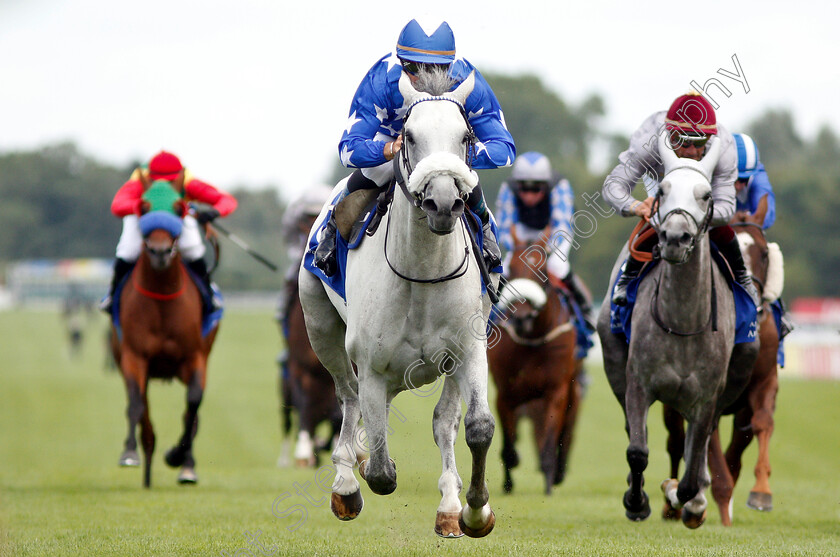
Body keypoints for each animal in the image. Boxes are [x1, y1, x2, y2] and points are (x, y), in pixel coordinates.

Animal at [110, 184, 218, 486]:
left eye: (179, 207)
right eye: (144, 207)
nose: (159, 252)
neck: (162, 300)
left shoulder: (194, 358)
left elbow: (192, 405)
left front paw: (177, 457)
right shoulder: (134, 357)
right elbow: (136, 404)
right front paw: (129, 453)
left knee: (191, 416)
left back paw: (186, 466)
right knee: (144, 413)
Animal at [300, 69, 498, 540]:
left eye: (466, 136)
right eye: (408, 135)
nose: (443, 201)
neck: (422, 272)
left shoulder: (469, 349)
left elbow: (475, 427)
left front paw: (475, 511)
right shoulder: (372, 363)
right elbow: (381, 471)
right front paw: (360, 472)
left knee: (442, 422)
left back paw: (449, 505)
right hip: (321, 328)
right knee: (349, 396)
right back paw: (345, 481)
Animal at [488, 228, 580, 494]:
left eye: (542, 272)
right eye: (511, 270)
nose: (522, 317)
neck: (533, 338)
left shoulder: (556, 390)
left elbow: (550, 441)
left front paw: (549, 482)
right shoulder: (505, 392)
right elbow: (509, 447)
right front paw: (508, 483)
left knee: (567, 429)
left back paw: (559, 472)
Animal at [596, 132, 760, 528]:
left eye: (706, 195)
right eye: (663, 189)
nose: (674, 237)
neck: (682, 321)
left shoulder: (706, 397)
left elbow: (691, 466)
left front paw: (685, 497)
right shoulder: (638, 383)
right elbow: (638, 450)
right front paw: (636, 501)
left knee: (699, 448)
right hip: (614, 362)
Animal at [664, 197, 780, 524]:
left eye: (763, 253)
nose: (756, 308)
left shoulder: (765, 381)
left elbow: (762, 423)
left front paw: (761, 493)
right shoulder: (706, 394)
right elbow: (714, 463)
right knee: (675, 442)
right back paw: (672, 506)